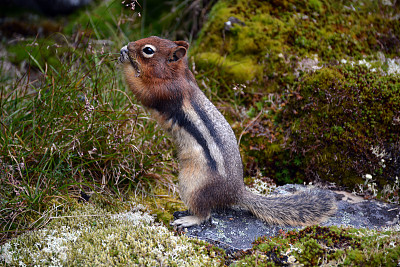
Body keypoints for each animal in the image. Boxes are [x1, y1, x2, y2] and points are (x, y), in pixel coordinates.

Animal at [119, 35, 338, 228]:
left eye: (148, 50)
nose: (129, 45)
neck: (176, 74)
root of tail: (236, 192)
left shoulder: (165, 91)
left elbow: (142, 90)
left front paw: (125, 61)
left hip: (192, 184)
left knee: (205, 213)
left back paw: (189, 219)